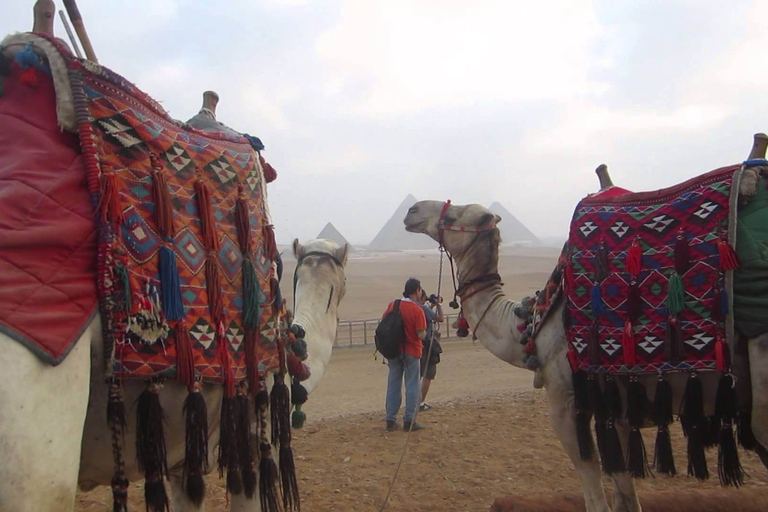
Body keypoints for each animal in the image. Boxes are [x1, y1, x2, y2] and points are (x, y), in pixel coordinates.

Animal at [402, 140, 768, 512]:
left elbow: (595, 485)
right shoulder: (616, 404)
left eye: (452, 217)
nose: (412, 210)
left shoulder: (566, 399)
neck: (530, 323)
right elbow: (625, 492)